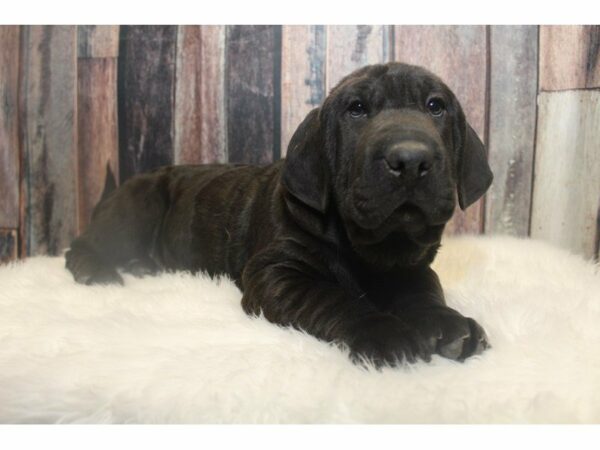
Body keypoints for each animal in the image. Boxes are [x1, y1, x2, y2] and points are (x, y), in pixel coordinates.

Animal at [68, 62, 494, 366]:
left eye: (436, 106)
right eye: (356, 110)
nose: (410, 159)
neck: (374, 247)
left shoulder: (414, 267)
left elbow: (424, 292)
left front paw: (446, 323)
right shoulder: (276, 273)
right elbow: (335, 298)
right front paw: (384, 331)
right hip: (136, 205)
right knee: (82, 245)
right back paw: (99, 271)